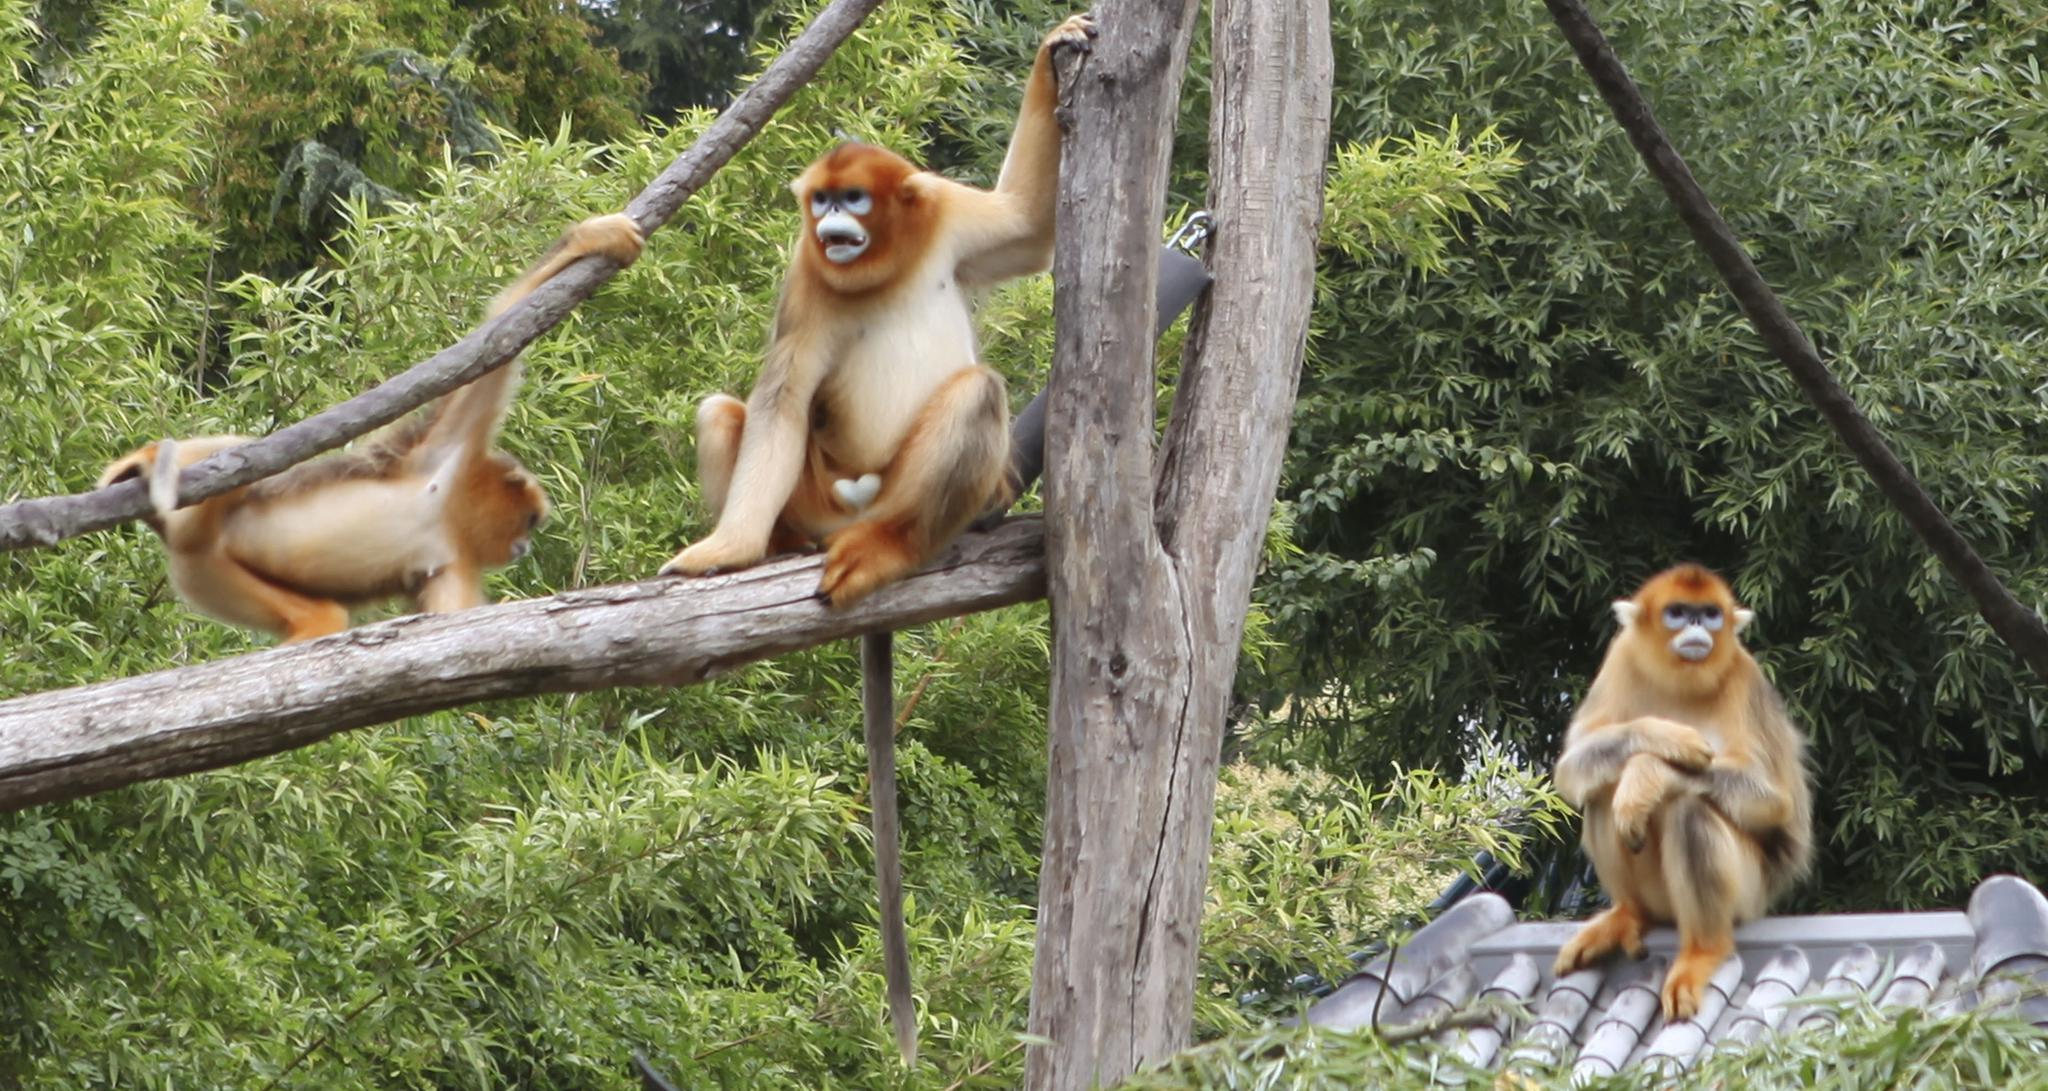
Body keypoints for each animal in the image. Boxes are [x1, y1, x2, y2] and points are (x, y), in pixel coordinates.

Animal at [99, 213, 644, 643]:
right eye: (529, 521)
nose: (524, 546)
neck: (447, 514)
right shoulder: (445, 450)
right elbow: (497, 338)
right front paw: (594, 238)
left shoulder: (451, 562)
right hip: (204, 556)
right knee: (241, 460)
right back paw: (147, 460)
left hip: (208, 570)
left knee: (320, 615)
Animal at [655, 14, 1096, 1062]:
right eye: (818, 202)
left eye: (852, 197)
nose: (831, 226)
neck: (878, 266)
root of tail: (853, 519)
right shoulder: (804, 283)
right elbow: (778, 404)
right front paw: (723, 553)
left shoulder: (943, 219)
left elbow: (1024, 223)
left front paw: (1058, 43)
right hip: (820, 497)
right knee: (729, 412)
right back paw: (777, 549)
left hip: (921, 490)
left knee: (975, 396)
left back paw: (899, 545)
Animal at [1551, 563, 1813, 1024]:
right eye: (1677, 612)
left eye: (1710, 614)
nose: (1696, 626)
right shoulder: (1621, 658)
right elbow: (1574, 764)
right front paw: (1665, 738)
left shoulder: (1744, 678)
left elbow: (1773, 802)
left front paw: (1649, 772)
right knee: (1602, 794)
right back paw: (1627, 914)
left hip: (1748, 893)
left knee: (1688, 808)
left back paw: (1703, 951)